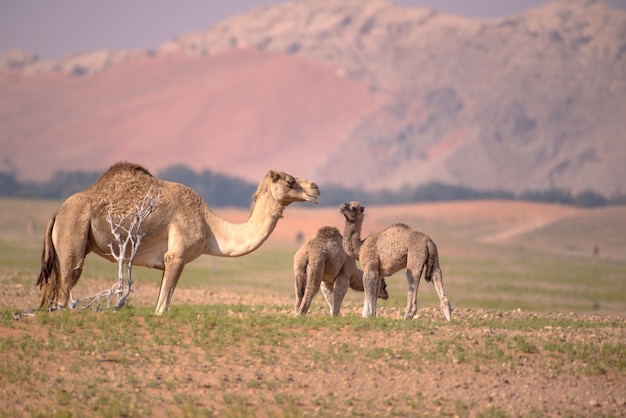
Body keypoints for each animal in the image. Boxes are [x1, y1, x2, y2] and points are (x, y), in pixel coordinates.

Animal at [36, 162, 320, 316]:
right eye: (290, 181)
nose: (316, 187)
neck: (209, 226)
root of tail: (57, 212)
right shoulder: (177, 256)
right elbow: (162, 307)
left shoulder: (166, 261)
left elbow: (162, 300)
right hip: (73, 235)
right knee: (68, 281)